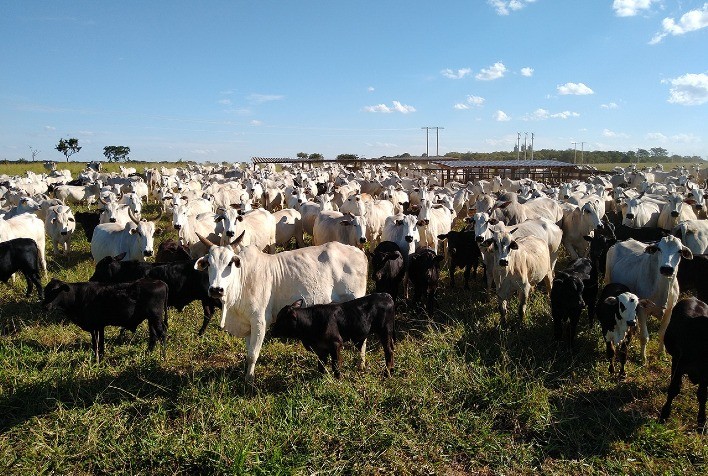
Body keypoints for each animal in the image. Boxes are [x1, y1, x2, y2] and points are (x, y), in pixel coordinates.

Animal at [660, 298, 708, 432]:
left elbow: (702, 395)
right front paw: (664, 414)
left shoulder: (705, 375)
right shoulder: (678, 364)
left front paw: (701, 421)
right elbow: (674, 389)